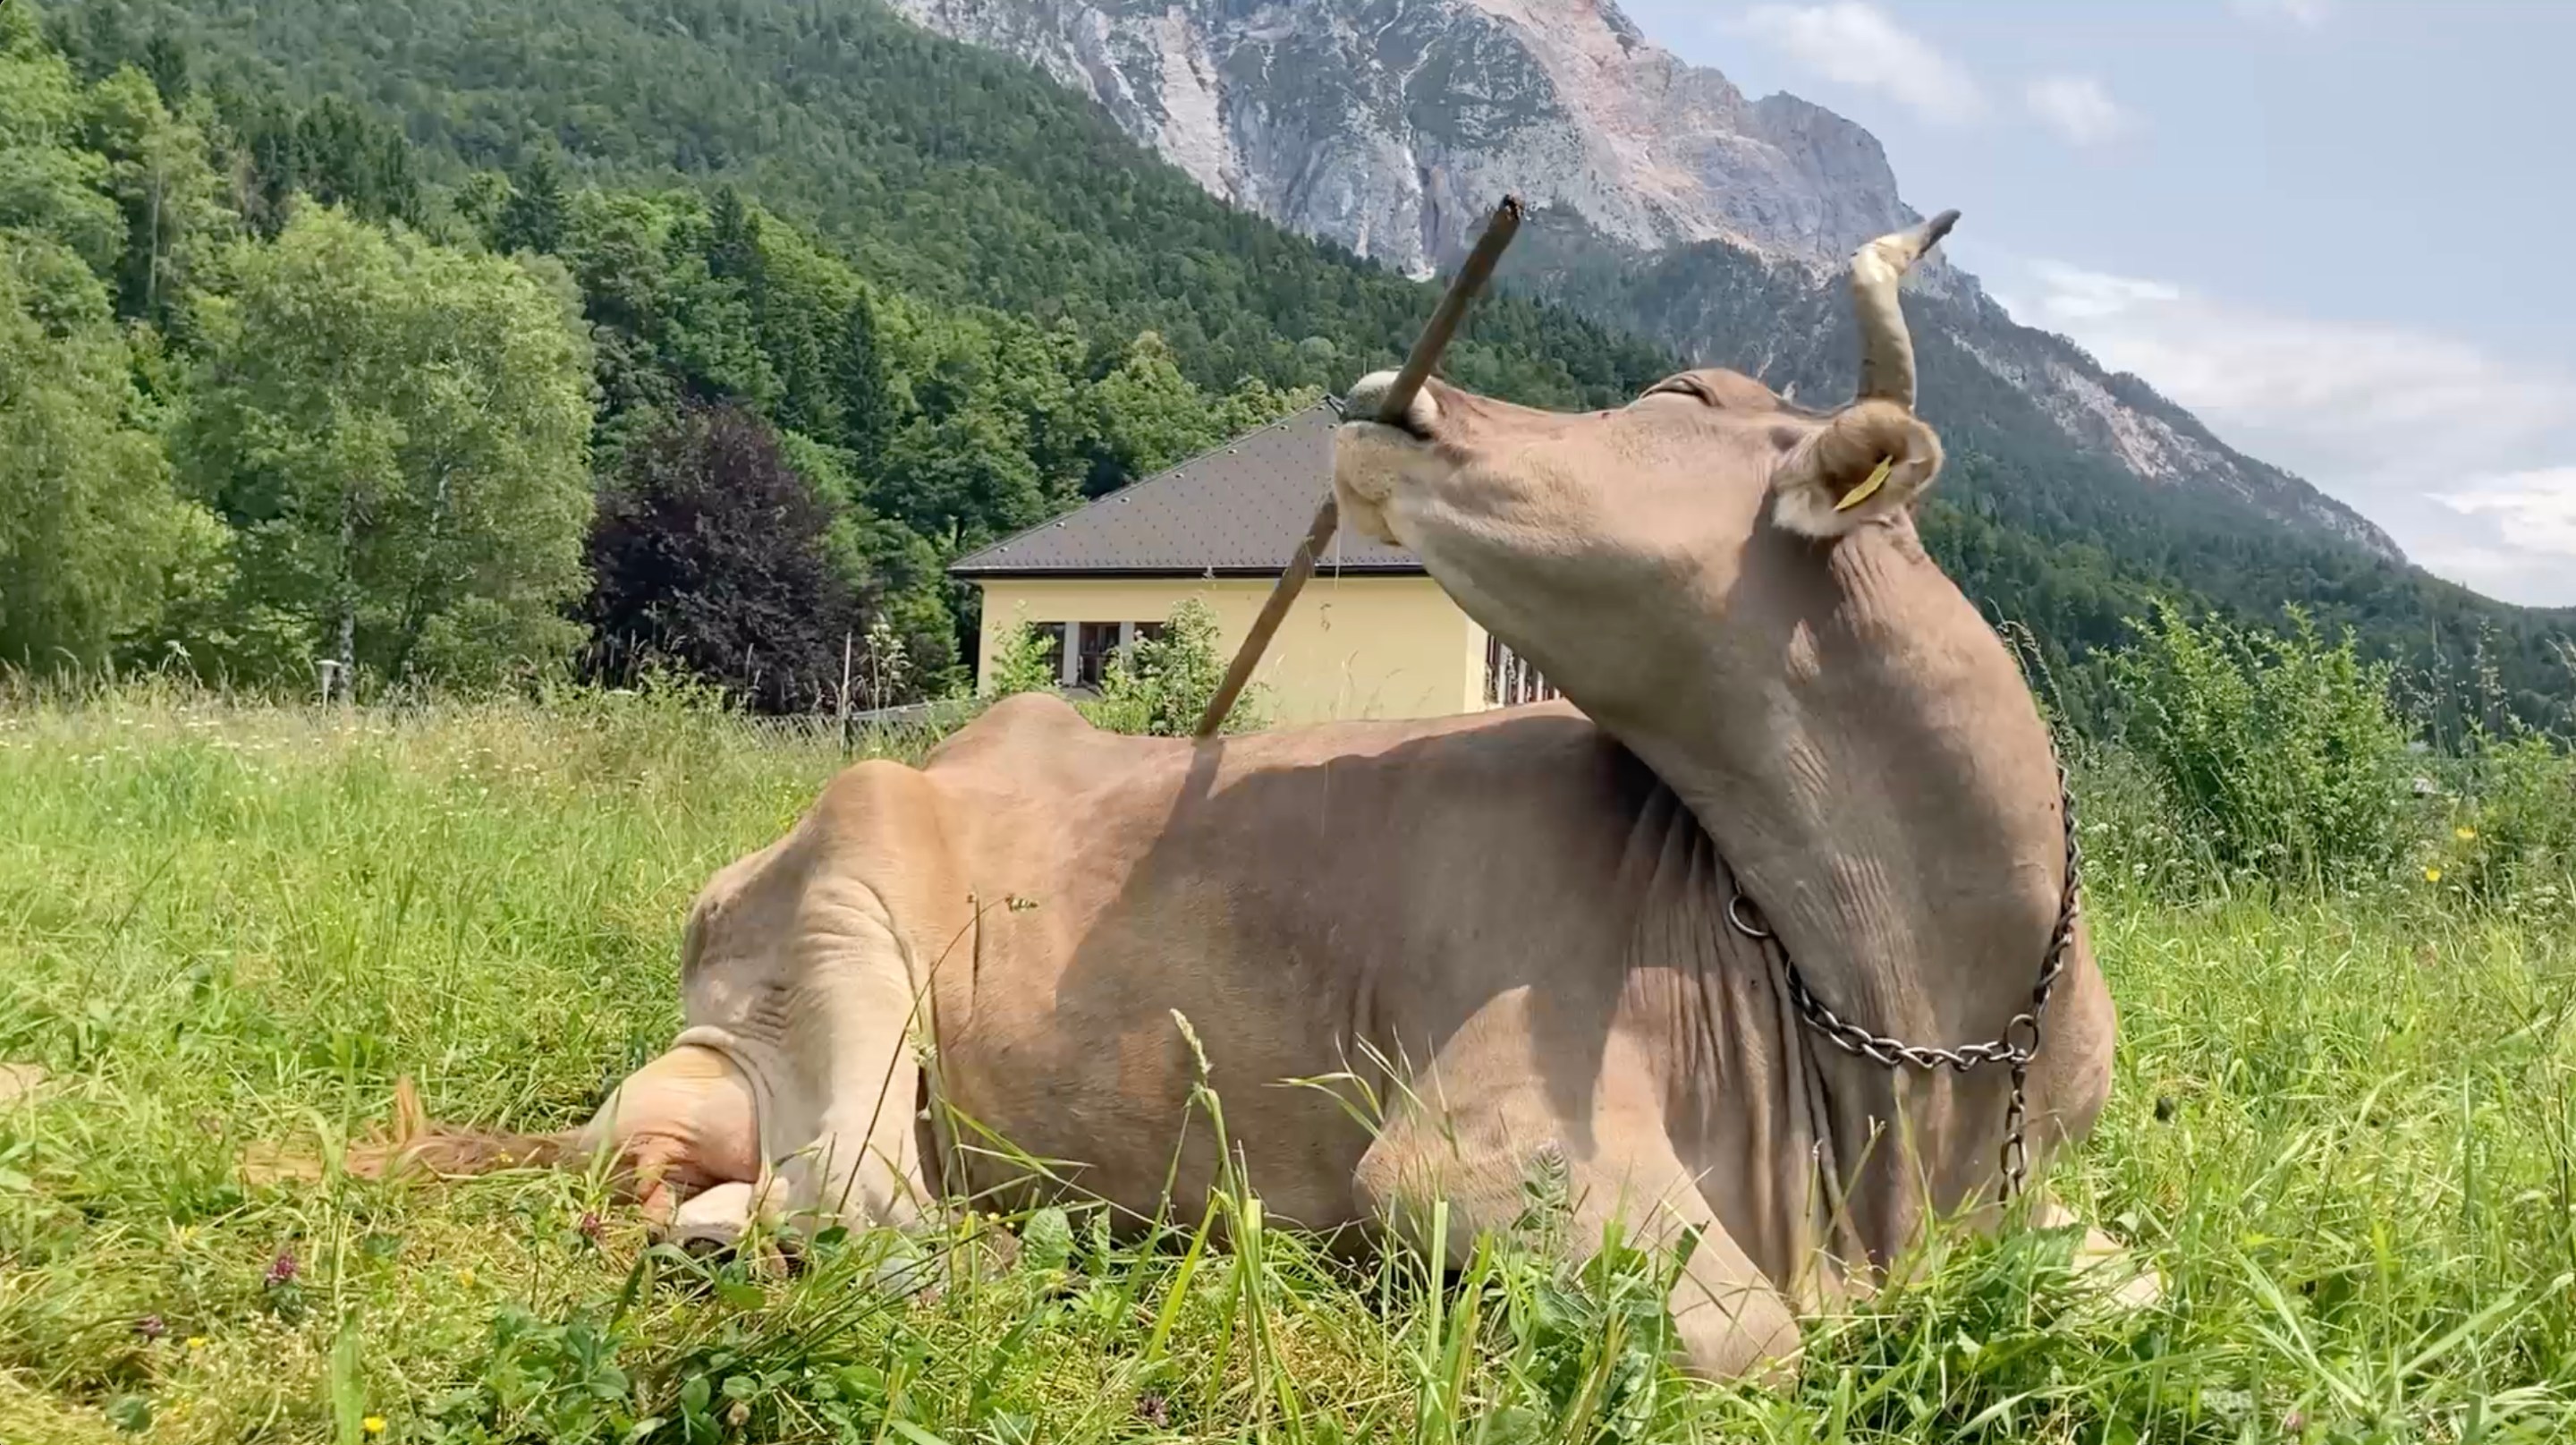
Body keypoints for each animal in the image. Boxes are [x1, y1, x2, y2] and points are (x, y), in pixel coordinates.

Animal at [362, 212, 2138, 1383]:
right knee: (866, 1210)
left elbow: (2126, 1290)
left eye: (1685, 400)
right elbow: (1762, 1341)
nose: (1392, 391)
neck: (1914, 1036)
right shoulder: (1475, 1151)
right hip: (845, 927)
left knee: (762, 1199)